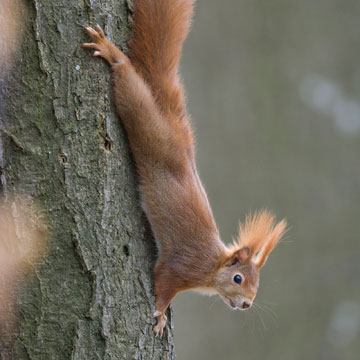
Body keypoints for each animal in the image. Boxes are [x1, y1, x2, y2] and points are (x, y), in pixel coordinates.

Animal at [82, 0, 286, 334]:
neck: (211, 268)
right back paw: (112, 53)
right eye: (238, 278)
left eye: (257, 285)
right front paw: (161, 313)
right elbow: (163, 285)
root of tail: (173, 123)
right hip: (147, 125)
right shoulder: (178, 267)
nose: (246, 304)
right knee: (130, 88)